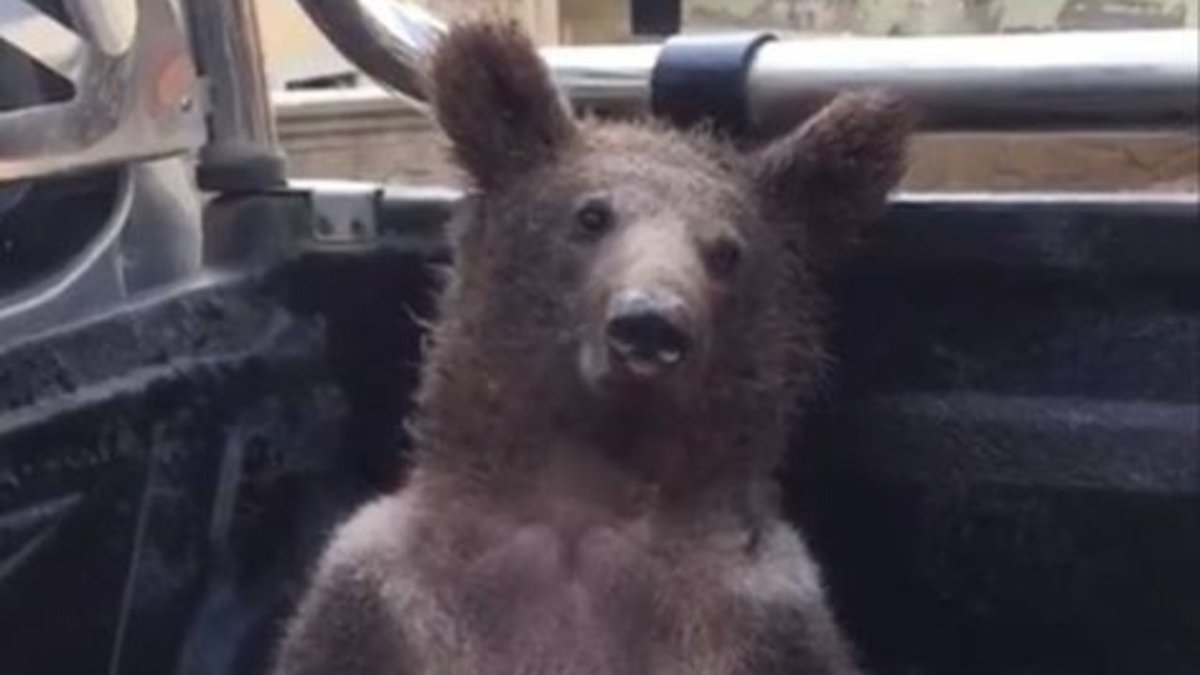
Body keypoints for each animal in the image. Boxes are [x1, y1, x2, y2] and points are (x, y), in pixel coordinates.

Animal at [271, 20, 910, 675]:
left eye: (728, 251)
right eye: (591, 216)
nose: (648, 327)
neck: (585, 504)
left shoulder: (762, 617)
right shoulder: (377, 599)